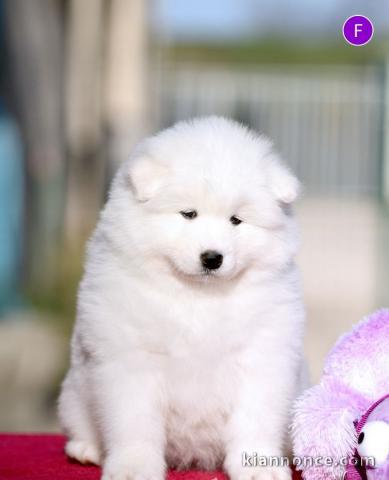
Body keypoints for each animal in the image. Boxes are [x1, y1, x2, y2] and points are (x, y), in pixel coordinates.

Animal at [58, 116, 306, 480]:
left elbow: (255, 418)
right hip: (75, 391)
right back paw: (86, 448)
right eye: (188, 214)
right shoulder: (129, 361)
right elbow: (134, 423)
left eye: (236, 220)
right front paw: (134, 467)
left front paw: (258, 465)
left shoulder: (263, 357)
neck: (197, 297)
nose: (212, 258)